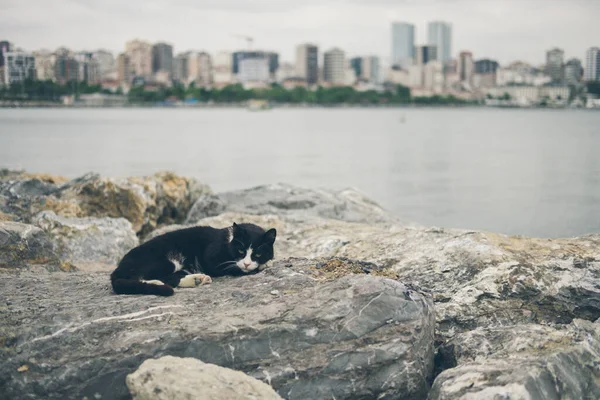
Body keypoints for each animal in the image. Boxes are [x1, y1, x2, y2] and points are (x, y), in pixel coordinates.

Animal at [110, 222, 276, 296]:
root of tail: (117, 268)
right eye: (241, 250)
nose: (247, 263)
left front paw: (265, 262)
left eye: (258, 254)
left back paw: (197, 279)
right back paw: (156, 283)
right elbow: (233, 267)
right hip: (164, 261)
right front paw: (263, 265)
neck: (228, 240)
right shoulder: (211, 257)